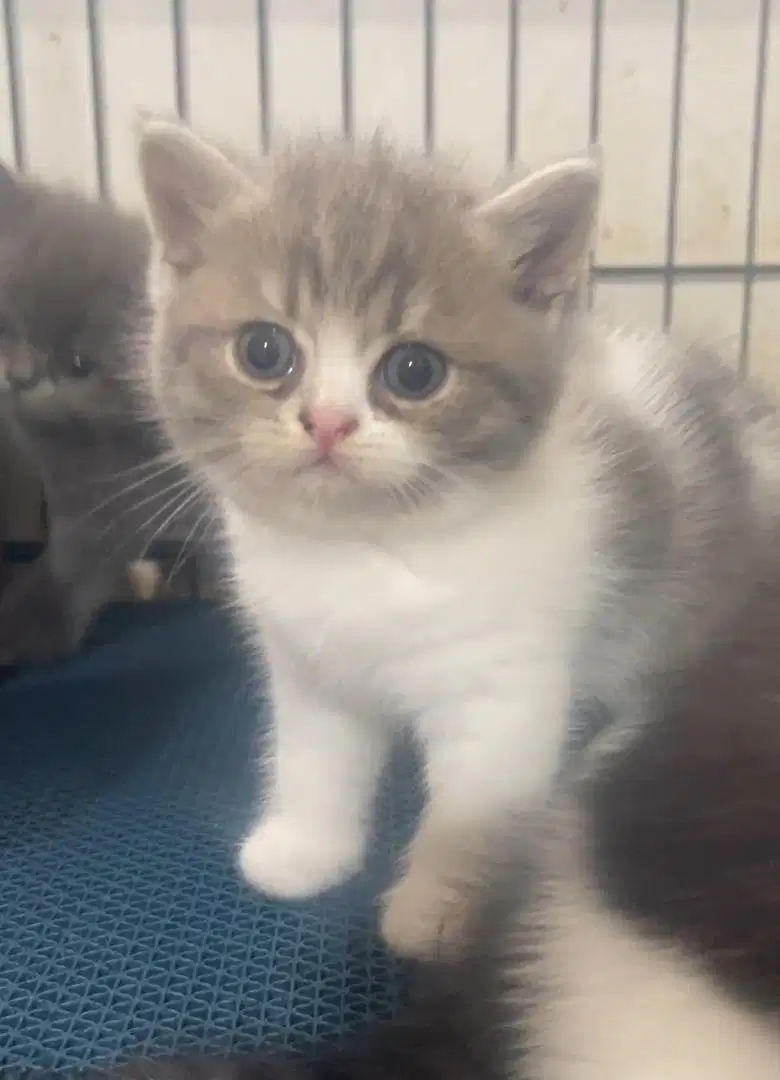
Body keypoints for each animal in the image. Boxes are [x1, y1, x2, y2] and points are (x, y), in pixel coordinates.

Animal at [132, 118, 777, 959]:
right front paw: (305, 848)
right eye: (264, 351)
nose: (329, 423)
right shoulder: (310, 666)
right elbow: (315, 757)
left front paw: (437, 913)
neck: (364, 551)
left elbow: (476, 811)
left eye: (414, 370)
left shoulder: (501, 690)